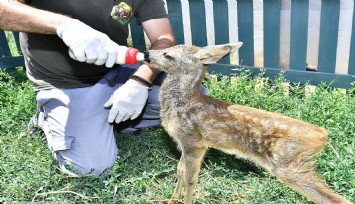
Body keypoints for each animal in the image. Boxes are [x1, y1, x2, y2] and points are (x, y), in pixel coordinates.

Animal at [144, 43, 350, 203]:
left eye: (168, 54)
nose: (146, 53)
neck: (184, 102)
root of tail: (322, 135)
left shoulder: (194, 142)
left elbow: (190, 179)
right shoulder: (184, 145)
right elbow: (179, 170)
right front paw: (171, 199)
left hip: (290, 166)